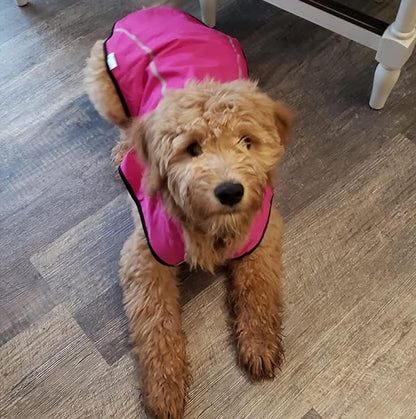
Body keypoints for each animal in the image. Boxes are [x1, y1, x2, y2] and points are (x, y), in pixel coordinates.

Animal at [83, 7, 292, 419]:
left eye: (247, 141)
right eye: (192, 148)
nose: (230, 191)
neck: (209, 224)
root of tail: (155, 10)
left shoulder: (262, 233)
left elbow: (259, 290)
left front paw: (259, 343)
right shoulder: (144, 256)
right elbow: (157, 324)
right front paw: (165, 387)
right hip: (104, 84)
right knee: (126, 125)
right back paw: (124, 150)